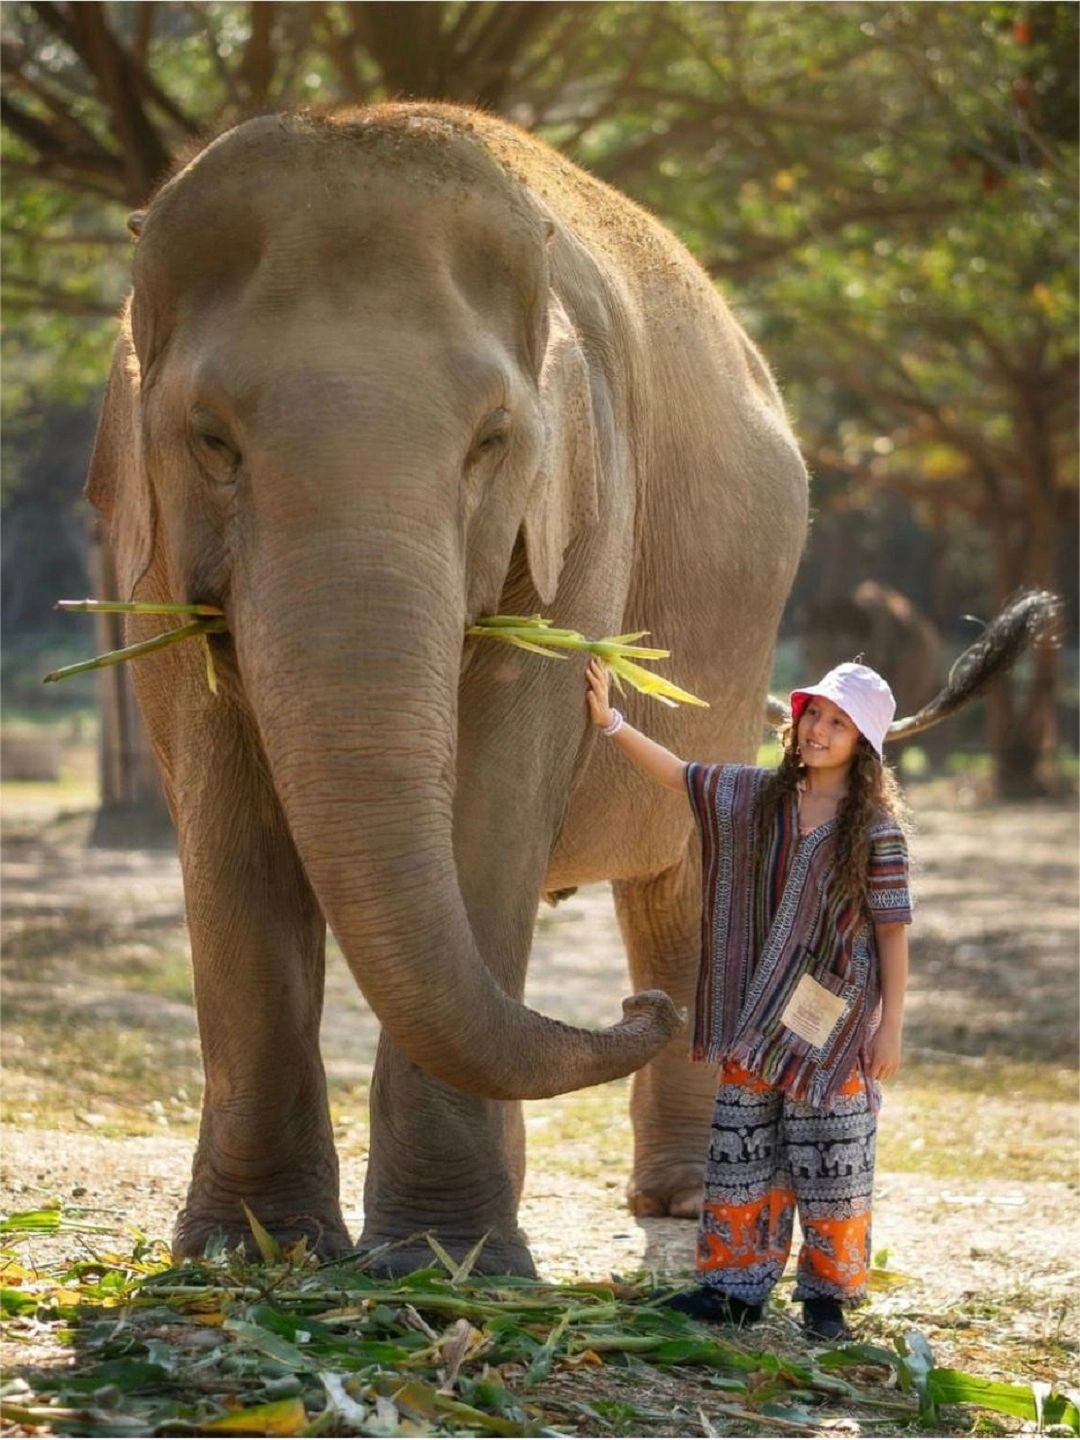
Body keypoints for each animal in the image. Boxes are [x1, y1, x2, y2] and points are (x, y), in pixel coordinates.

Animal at [84, 101, 806, 1272]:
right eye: (211, 440)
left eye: (491, 442)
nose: (639, 1007)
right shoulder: (143, 547)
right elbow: (224, 816)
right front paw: (252, 1251)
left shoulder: (585, 514)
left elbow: (496, 802)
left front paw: (445, 1262)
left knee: (691, 864)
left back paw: (695, 1204)